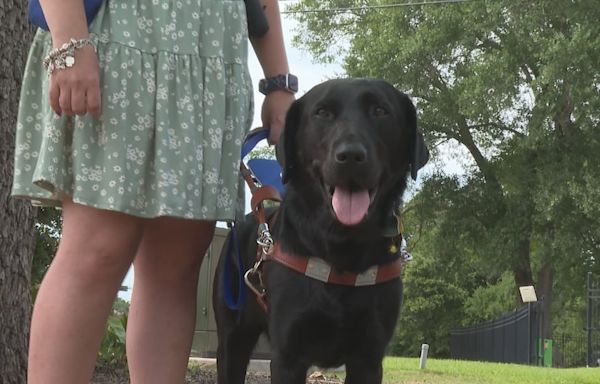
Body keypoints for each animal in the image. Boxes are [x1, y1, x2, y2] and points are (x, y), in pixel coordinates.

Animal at [213, 79, 428, 384]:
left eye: (380, 110)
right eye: (322, 112)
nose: (350, 155)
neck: (342, 248)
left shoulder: (368, 358)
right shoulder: (288, 356)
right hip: (233, 338)